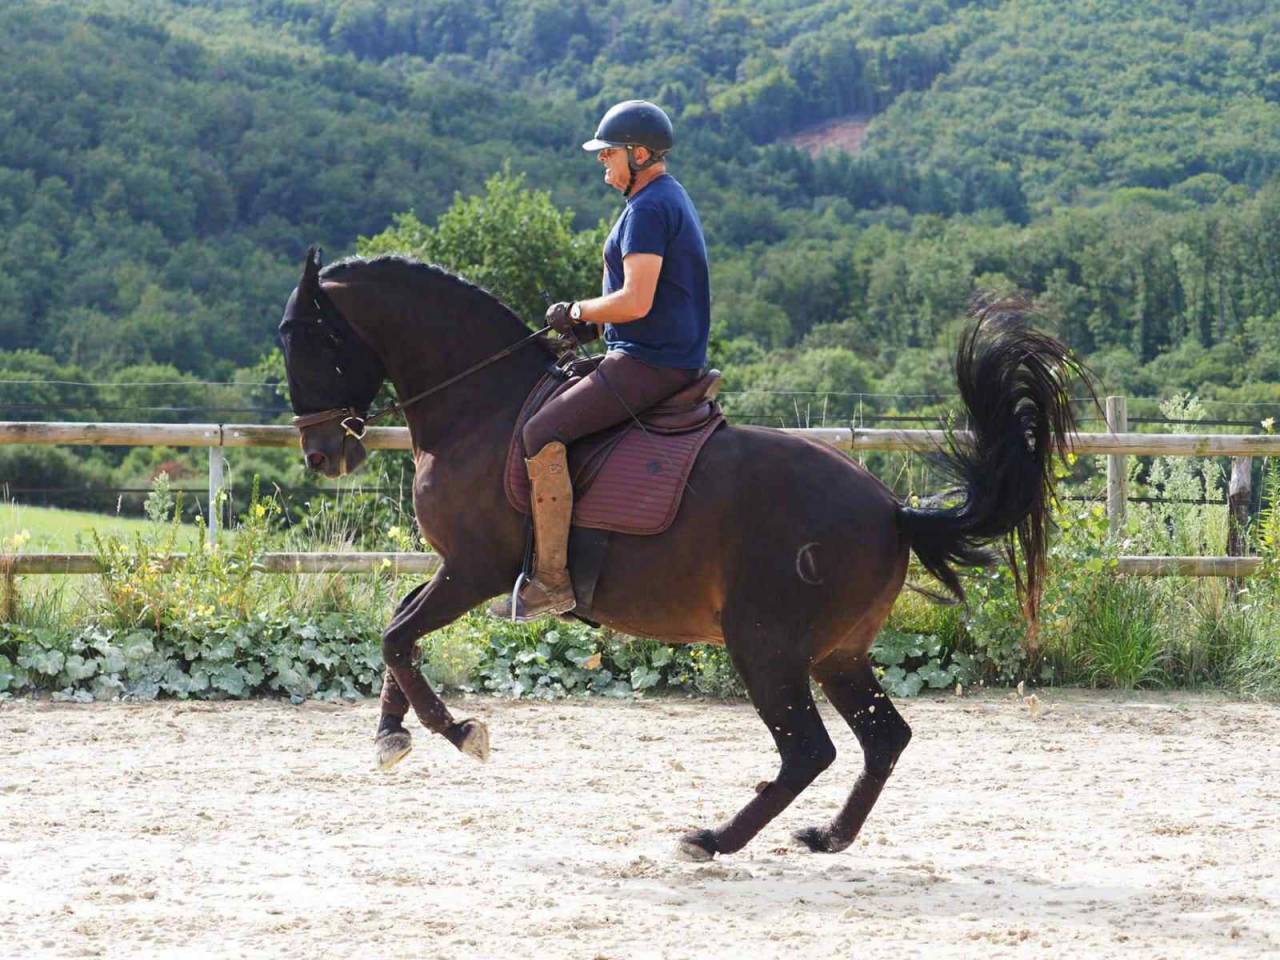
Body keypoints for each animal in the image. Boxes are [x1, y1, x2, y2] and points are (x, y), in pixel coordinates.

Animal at [278, 248, 1086, 860]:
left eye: (303, 340)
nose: (321, 455)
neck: (482, 406)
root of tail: (892, 510)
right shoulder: (459, 571)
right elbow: (398, 627)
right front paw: (392, 735)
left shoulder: (475, 569)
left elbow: (397, 634)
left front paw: (456, 731)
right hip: (838, 653)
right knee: (884, 737)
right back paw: (825, 836)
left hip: (765, 645)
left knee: (809, 750)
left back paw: (713, 839)